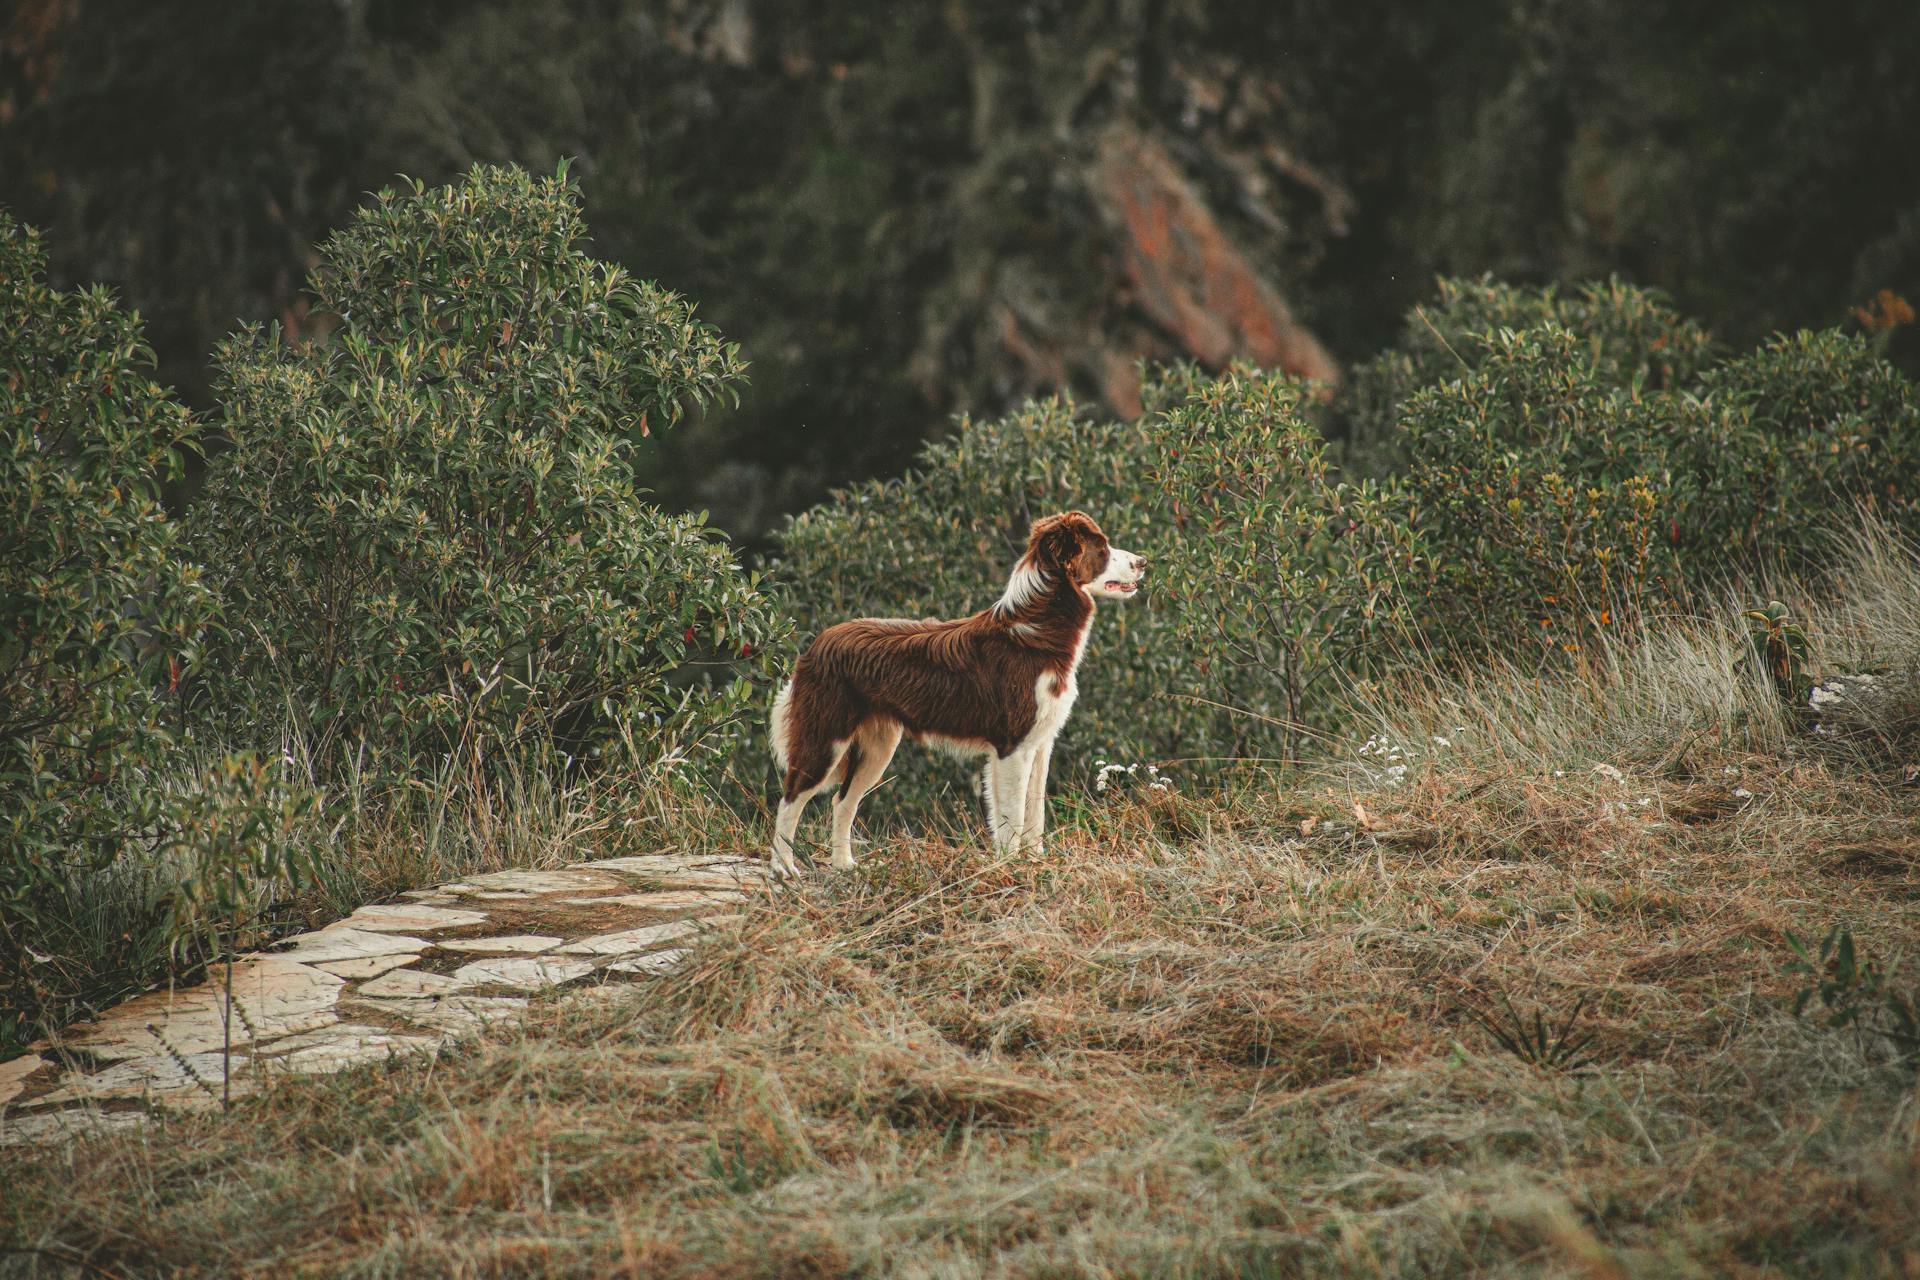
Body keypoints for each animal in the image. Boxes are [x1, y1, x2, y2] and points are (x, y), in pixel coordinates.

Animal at [771, 514, 1144, 875]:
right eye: (1102, 547)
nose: (1143, 561)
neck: (1037, 629)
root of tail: (815, 645)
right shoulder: (1013, 746)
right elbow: (1013, 815)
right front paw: (1012, 867)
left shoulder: (1040, 743)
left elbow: (1033, 811)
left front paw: (1034, 861)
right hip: (826, 739)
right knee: (790, 797)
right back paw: (784, 869)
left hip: (878, 747)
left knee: (843, 800)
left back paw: (844, 865)